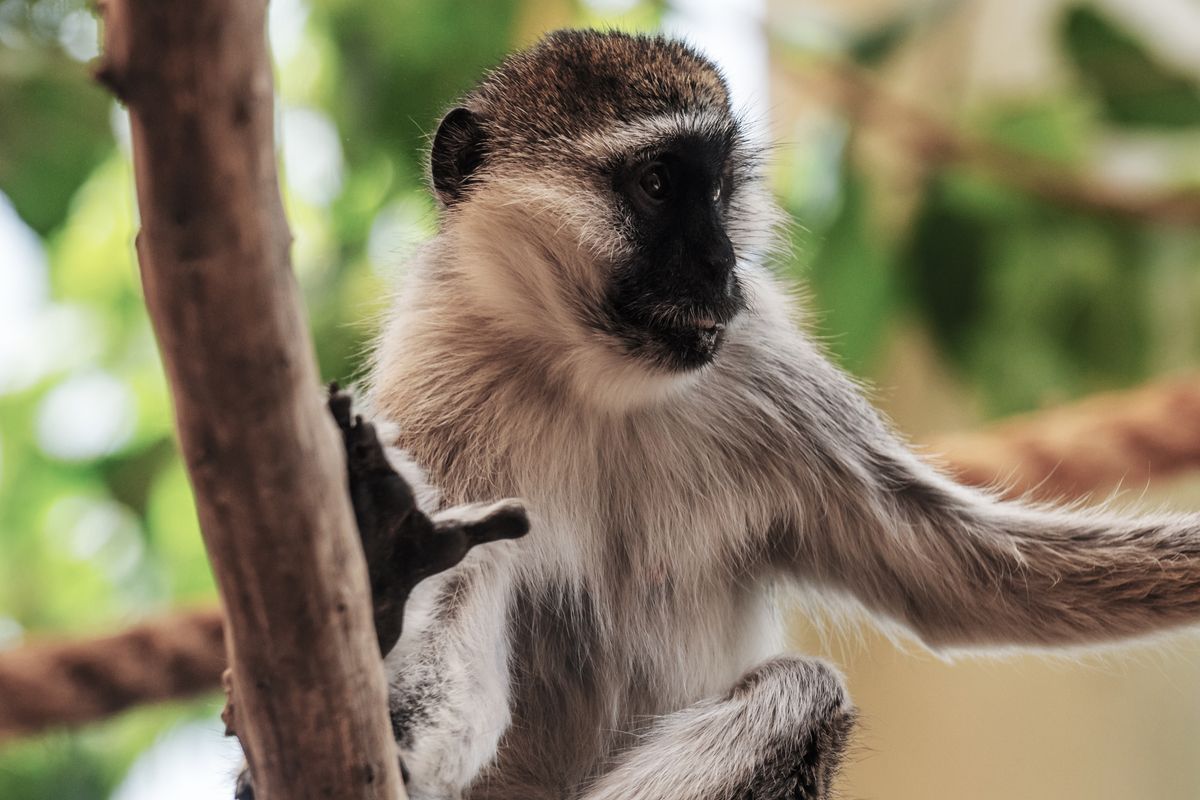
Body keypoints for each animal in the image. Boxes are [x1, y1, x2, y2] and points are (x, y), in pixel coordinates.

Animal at [235, 29, 1200, 800]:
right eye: (660, 184)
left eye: (720, 186)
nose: (720, 263)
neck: (597, 381)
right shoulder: (437, 391)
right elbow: (454, 631)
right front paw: (388, 598)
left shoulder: (765, 370)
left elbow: (969, 575)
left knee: (803, 693)